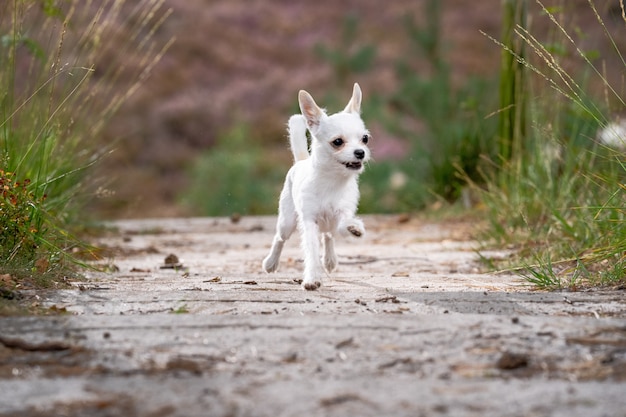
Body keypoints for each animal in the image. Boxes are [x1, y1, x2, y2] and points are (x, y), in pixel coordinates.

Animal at [260, 82, 368, 290]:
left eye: (365, 139)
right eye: (338, 142)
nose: (360, 152)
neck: (332, 180)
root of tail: (301, 160)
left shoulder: (342, 213)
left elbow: (344, 224)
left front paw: (354, 227)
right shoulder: (309, 222)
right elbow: (311, 252)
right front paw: (312, 278)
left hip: (327, 224)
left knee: (329, 236)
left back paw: (330, 259)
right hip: (287, 221)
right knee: (279, 238)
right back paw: (271, 262)